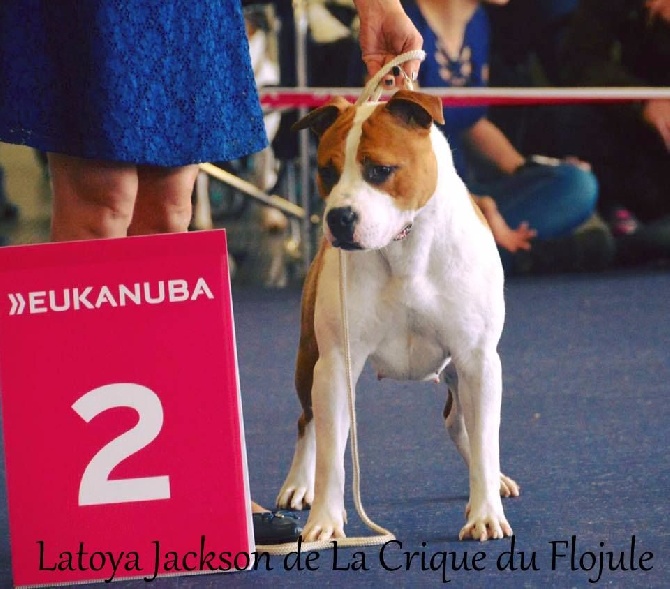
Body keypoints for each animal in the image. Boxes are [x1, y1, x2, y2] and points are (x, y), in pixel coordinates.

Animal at [276, 88, 524, 544]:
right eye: (326, 172)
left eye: (380, 170)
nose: (338, 217)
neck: (405, 246)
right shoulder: (336, 362)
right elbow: (332, 456)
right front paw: (325, 522)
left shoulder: (477, 359)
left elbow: (485, 439)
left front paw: (485, 513)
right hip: (309, 359)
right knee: (309, 422)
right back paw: (299, 483)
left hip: (458, 373)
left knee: (459, 423)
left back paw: (492, 482)